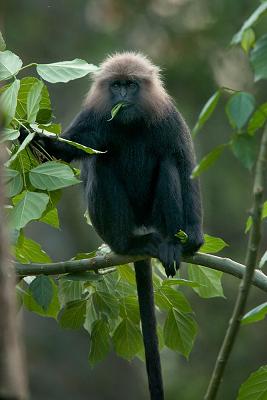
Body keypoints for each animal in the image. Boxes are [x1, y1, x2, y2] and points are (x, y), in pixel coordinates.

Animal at [26, 53, 203, 400]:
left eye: (131, 85)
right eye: (117, 85)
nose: (122, 96)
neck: (130, 124)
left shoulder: (170, 120)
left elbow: (184, 164)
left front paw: (194, 237)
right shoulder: (94, 117)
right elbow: (60, 152)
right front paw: (28, 133)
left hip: (154, 216)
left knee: (168, 164)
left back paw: (169, 243)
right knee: (102, 163)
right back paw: (127, 245)